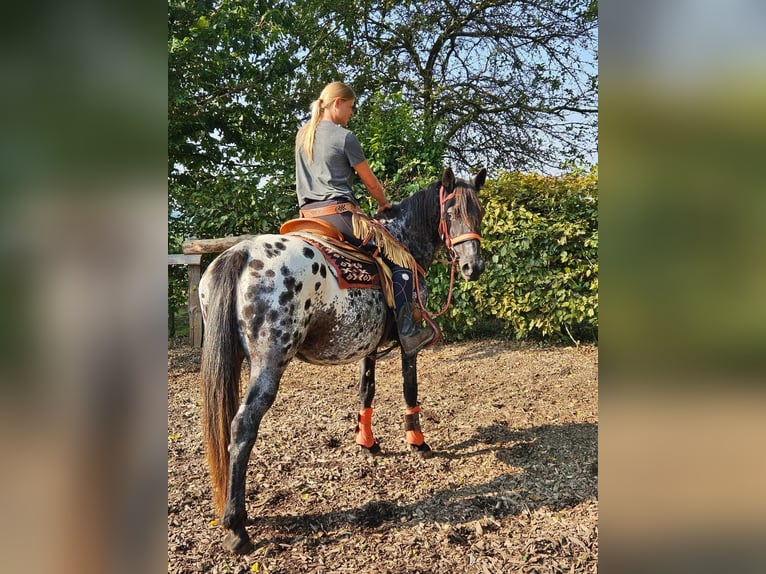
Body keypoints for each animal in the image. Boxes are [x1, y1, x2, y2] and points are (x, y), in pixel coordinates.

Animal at [198, 166, 486, 552]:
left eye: (479, 212)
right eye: (452, 212)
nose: (473, 266)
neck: (405, 242)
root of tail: (241, 253)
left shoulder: (368, 345)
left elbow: (366, 390)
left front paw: (367, 443)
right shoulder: (408, 345)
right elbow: (410, 389)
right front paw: (417, 441)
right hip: (268, 363)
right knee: (242, 426)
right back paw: (236, 526)